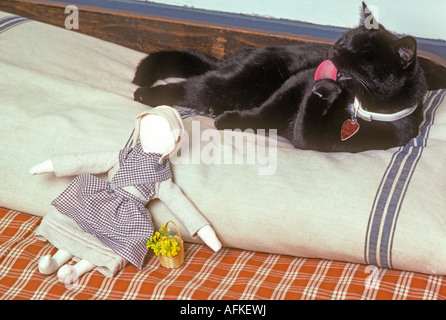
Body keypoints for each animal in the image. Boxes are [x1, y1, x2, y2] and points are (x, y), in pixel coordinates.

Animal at [133, 3, 428, 152]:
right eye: (344, 40)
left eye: (364, 55)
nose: (334, 51)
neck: (357, 106)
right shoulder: (297, 81)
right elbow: (265, 112)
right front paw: (232, 120)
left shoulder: (320, 142)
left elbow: (302, 129)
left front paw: (324, 92)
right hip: (243, 79)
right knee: (191, 88)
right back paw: (145, 93)